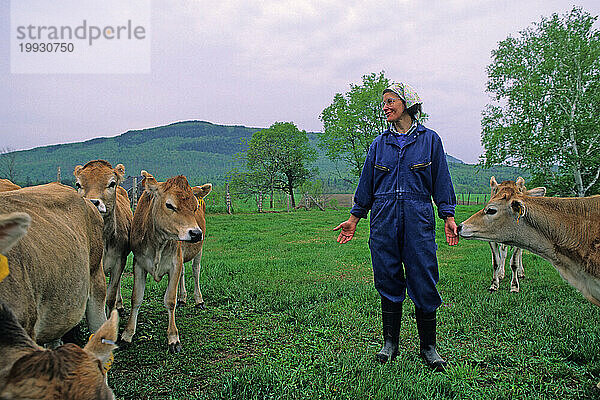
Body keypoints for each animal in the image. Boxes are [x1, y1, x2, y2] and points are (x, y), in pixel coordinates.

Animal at [120, 172, 203, 354]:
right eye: (169, 205)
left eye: (194, 207)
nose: (195, 233)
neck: (158, 242)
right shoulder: (139, 263)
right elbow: (136, 298)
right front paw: (127, 334)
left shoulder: (175, 263)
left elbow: (170, 300)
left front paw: (173, 338)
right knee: (184, 274)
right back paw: (183, 297)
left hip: (198, 251)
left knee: (195, 271)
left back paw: (198, 300)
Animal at [460, 181, 600, 306]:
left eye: (491, 210)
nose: (460, 226)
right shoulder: (493, 241)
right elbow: (496, 262)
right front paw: (494, 283)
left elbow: (514, 262)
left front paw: (514, 286)